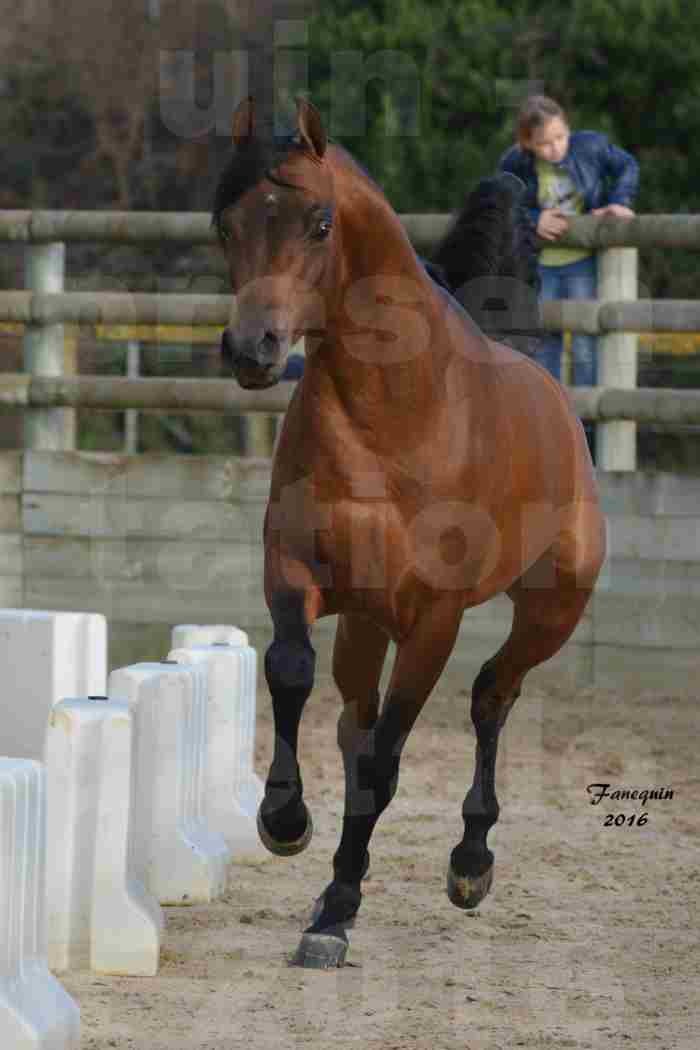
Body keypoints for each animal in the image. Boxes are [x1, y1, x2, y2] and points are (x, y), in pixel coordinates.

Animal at [215, 96, 608, 965]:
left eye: (320, 221)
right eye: (226, 222)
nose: (253, 348)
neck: (393, 415)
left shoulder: (434, 620)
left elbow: (389, 763)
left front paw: (334, 915)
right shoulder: (294, 569)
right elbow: (291, 670)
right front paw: (284, 823)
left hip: (551, 612)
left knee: (493, 694)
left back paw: (470, 864)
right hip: (367, 624)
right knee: (354, 724)